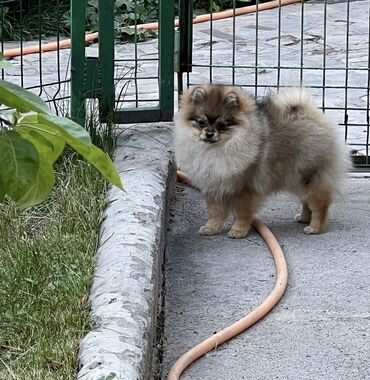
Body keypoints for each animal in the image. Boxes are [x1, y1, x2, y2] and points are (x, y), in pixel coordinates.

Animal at [174, 84, 350, 238]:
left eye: (222, 125)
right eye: (201, 122)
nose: (209, 134)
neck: (218, 149)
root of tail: (312, 114)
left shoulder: (245, 189)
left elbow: (242, 213)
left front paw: (238, 231)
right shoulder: (215, 187)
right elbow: (215, 213)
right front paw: (211, 229)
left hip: (310, 175)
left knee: (320, 203)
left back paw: (315, 227)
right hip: (296, 177)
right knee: (306, 199)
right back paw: (304, 218)